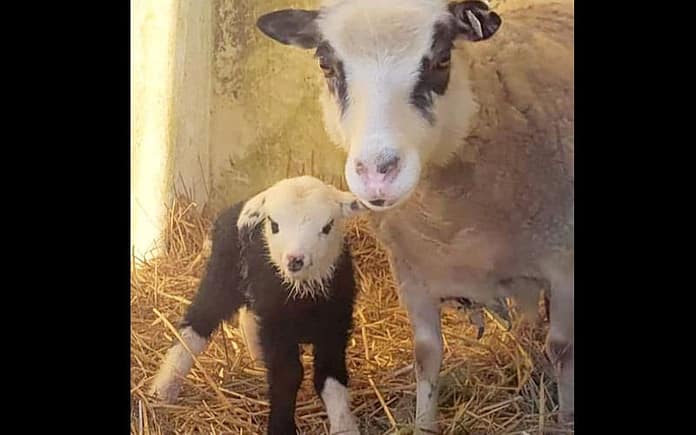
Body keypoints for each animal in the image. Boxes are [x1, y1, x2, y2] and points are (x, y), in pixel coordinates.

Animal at [149, 176, 366, 435]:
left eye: (327, 226)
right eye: (274, 225)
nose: (295, 260)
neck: (302, 294)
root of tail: (237, 206)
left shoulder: (334, 324)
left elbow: (331, 377)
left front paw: (344, 426)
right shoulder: (277, 327)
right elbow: (287, 375)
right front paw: (281, 427)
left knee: (247, 318)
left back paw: (256, 360)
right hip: (223, 277)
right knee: (196, 325)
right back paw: (163, 388)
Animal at [255, 0, 574, 431]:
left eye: (442, 60)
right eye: (326, 65)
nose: (378, 172)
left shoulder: (564, 262)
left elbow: (562, 350)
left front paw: (566, 419)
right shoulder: (412, 273)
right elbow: (426, 354)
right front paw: (423, 423)